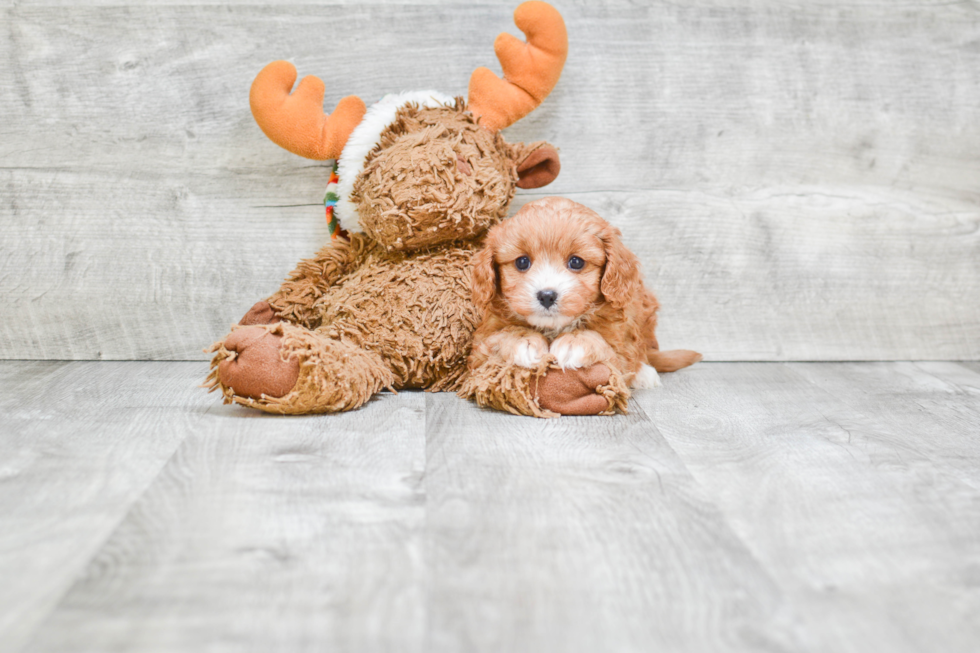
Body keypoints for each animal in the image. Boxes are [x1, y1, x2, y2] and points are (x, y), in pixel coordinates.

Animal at [470, 196, 700, 416]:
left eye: (576, 262)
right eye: (522, 262)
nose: (547, 296)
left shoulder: (620, 343)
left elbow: (607, 347)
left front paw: (575, 342)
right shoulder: (480, 348)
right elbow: (500, 336)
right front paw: (523, 341)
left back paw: (644, 372)